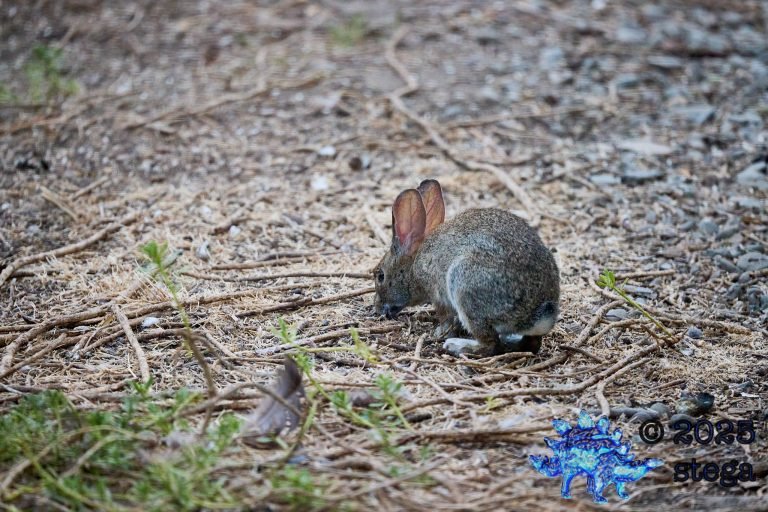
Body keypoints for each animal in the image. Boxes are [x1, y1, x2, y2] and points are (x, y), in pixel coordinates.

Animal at [373, 179, 560, 357]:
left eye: (380, 276)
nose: (377, 307)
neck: (413, 265)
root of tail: (536, 314)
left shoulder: (437, 293)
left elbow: (445, 316)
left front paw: (440, 332)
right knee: (531, 344)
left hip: (464, 285)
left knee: (490, 344)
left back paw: (456, 346)